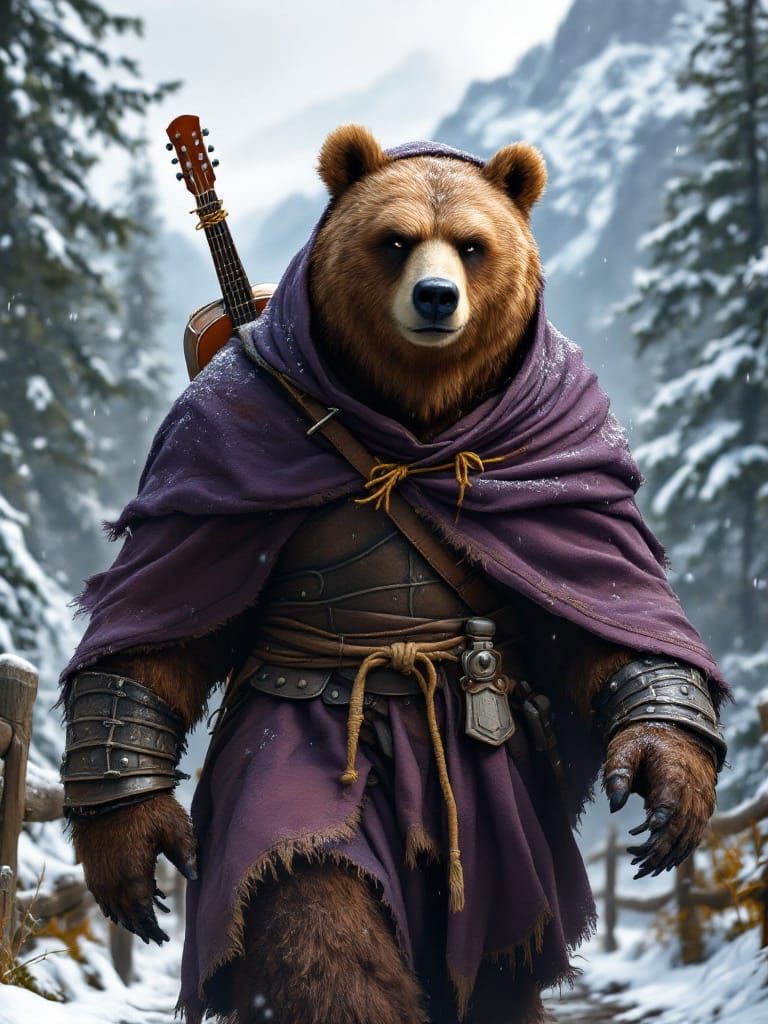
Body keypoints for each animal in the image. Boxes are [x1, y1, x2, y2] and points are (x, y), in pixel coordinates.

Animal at [62, 124, 726, 1024]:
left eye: (473, 245)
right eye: (396, 240)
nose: (438, 297)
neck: (414, 422)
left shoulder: (575, 472)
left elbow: (612, 630)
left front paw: (669, 767)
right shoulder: (208, 455)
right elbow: (157, 647)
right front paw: (128, 845)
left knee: (504, 965)